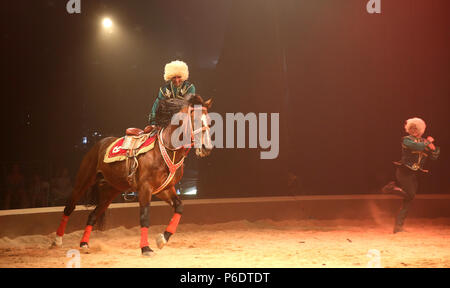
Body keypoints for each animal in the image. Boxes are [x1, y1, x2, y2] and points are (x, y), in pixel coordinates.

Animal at [51, 94, 213, 256]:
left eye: (210, 122)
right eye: (196, 120)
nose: (207, 147)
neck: (166, 150)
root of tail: (99, 144)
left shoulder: (164, 189)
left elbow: (179, 207)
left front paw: (162, 239)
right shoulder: (145, 188)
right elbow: (144, 216)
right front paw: (145, 248)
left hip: (110, 191)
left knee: (93, 215)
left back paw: (84, 243)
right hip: (84, 181)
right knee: (69, 207)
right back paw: (57, 241)